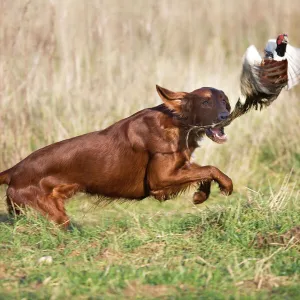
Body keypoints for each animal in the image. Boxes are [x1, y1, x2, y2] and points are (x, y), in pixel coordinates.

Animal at [0, 85, 233, 226]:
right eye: (205, 102)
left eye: (224, 101)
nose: (226, 116)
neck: (178, 123)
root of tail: (14, 171)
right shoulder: (159, 180)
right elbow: (210, 169)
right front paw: (226, 186)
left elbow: (204, 171)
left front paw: (201, 195)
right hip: (49, 213)